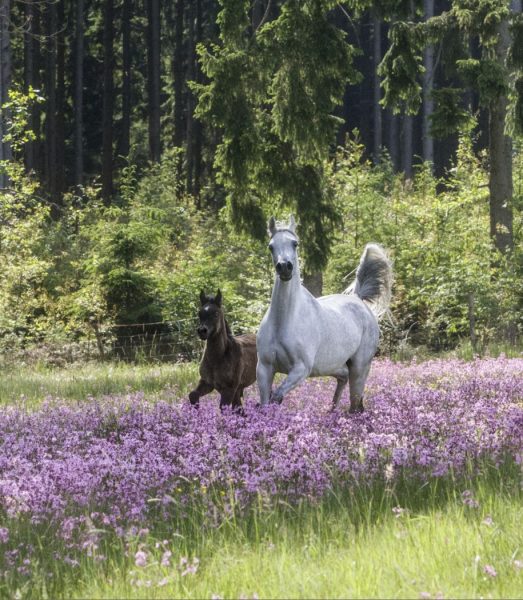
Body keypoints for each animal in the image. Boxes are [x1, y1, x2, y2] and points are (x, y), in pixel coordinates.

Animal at [258, 216, 392, 412]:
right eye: (271, 246)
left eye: (295, 243)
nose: (284, 268)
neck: (284, 321)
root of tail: (358, 300)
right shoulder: (264, 369)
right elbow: (265, 404)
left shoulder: (301, 369)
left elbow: (276, 397)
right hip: (334, 365)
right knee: (343, 378)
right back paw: (331, 411)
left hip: (360, 368)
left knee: (356, 404)